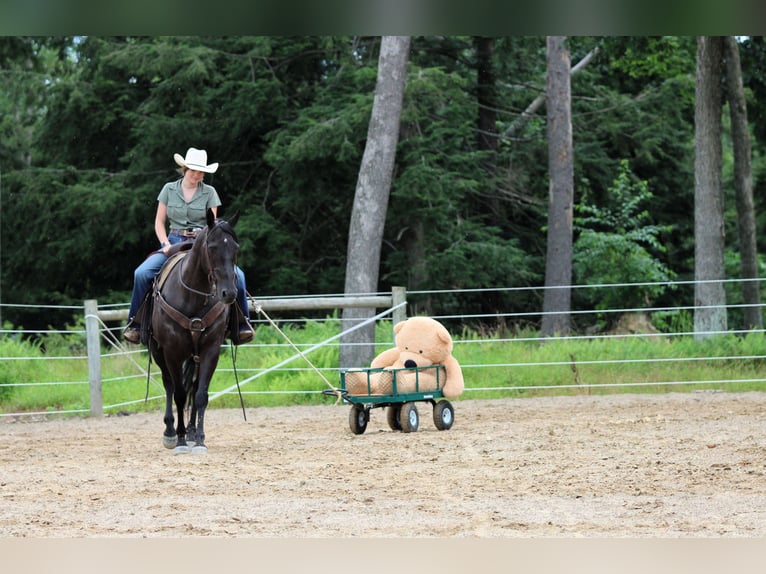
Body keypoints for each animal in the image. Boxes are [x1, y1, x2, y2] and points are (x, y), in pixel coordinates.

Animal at [149, 208, 240, 454]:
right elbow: (179, 395)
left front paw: (199, 439)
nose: (229, 293)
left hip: (195, 356)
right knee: (170, 385)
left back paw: (190, 431)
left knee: (193, 385)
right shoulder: (171, 351)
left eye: (236, 248)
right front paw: (180, 440)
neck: (193, 295)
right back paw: (171, 432)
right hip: (158, 351)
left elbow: (200, 394)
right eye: (212, 247)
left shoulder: (211, 349)